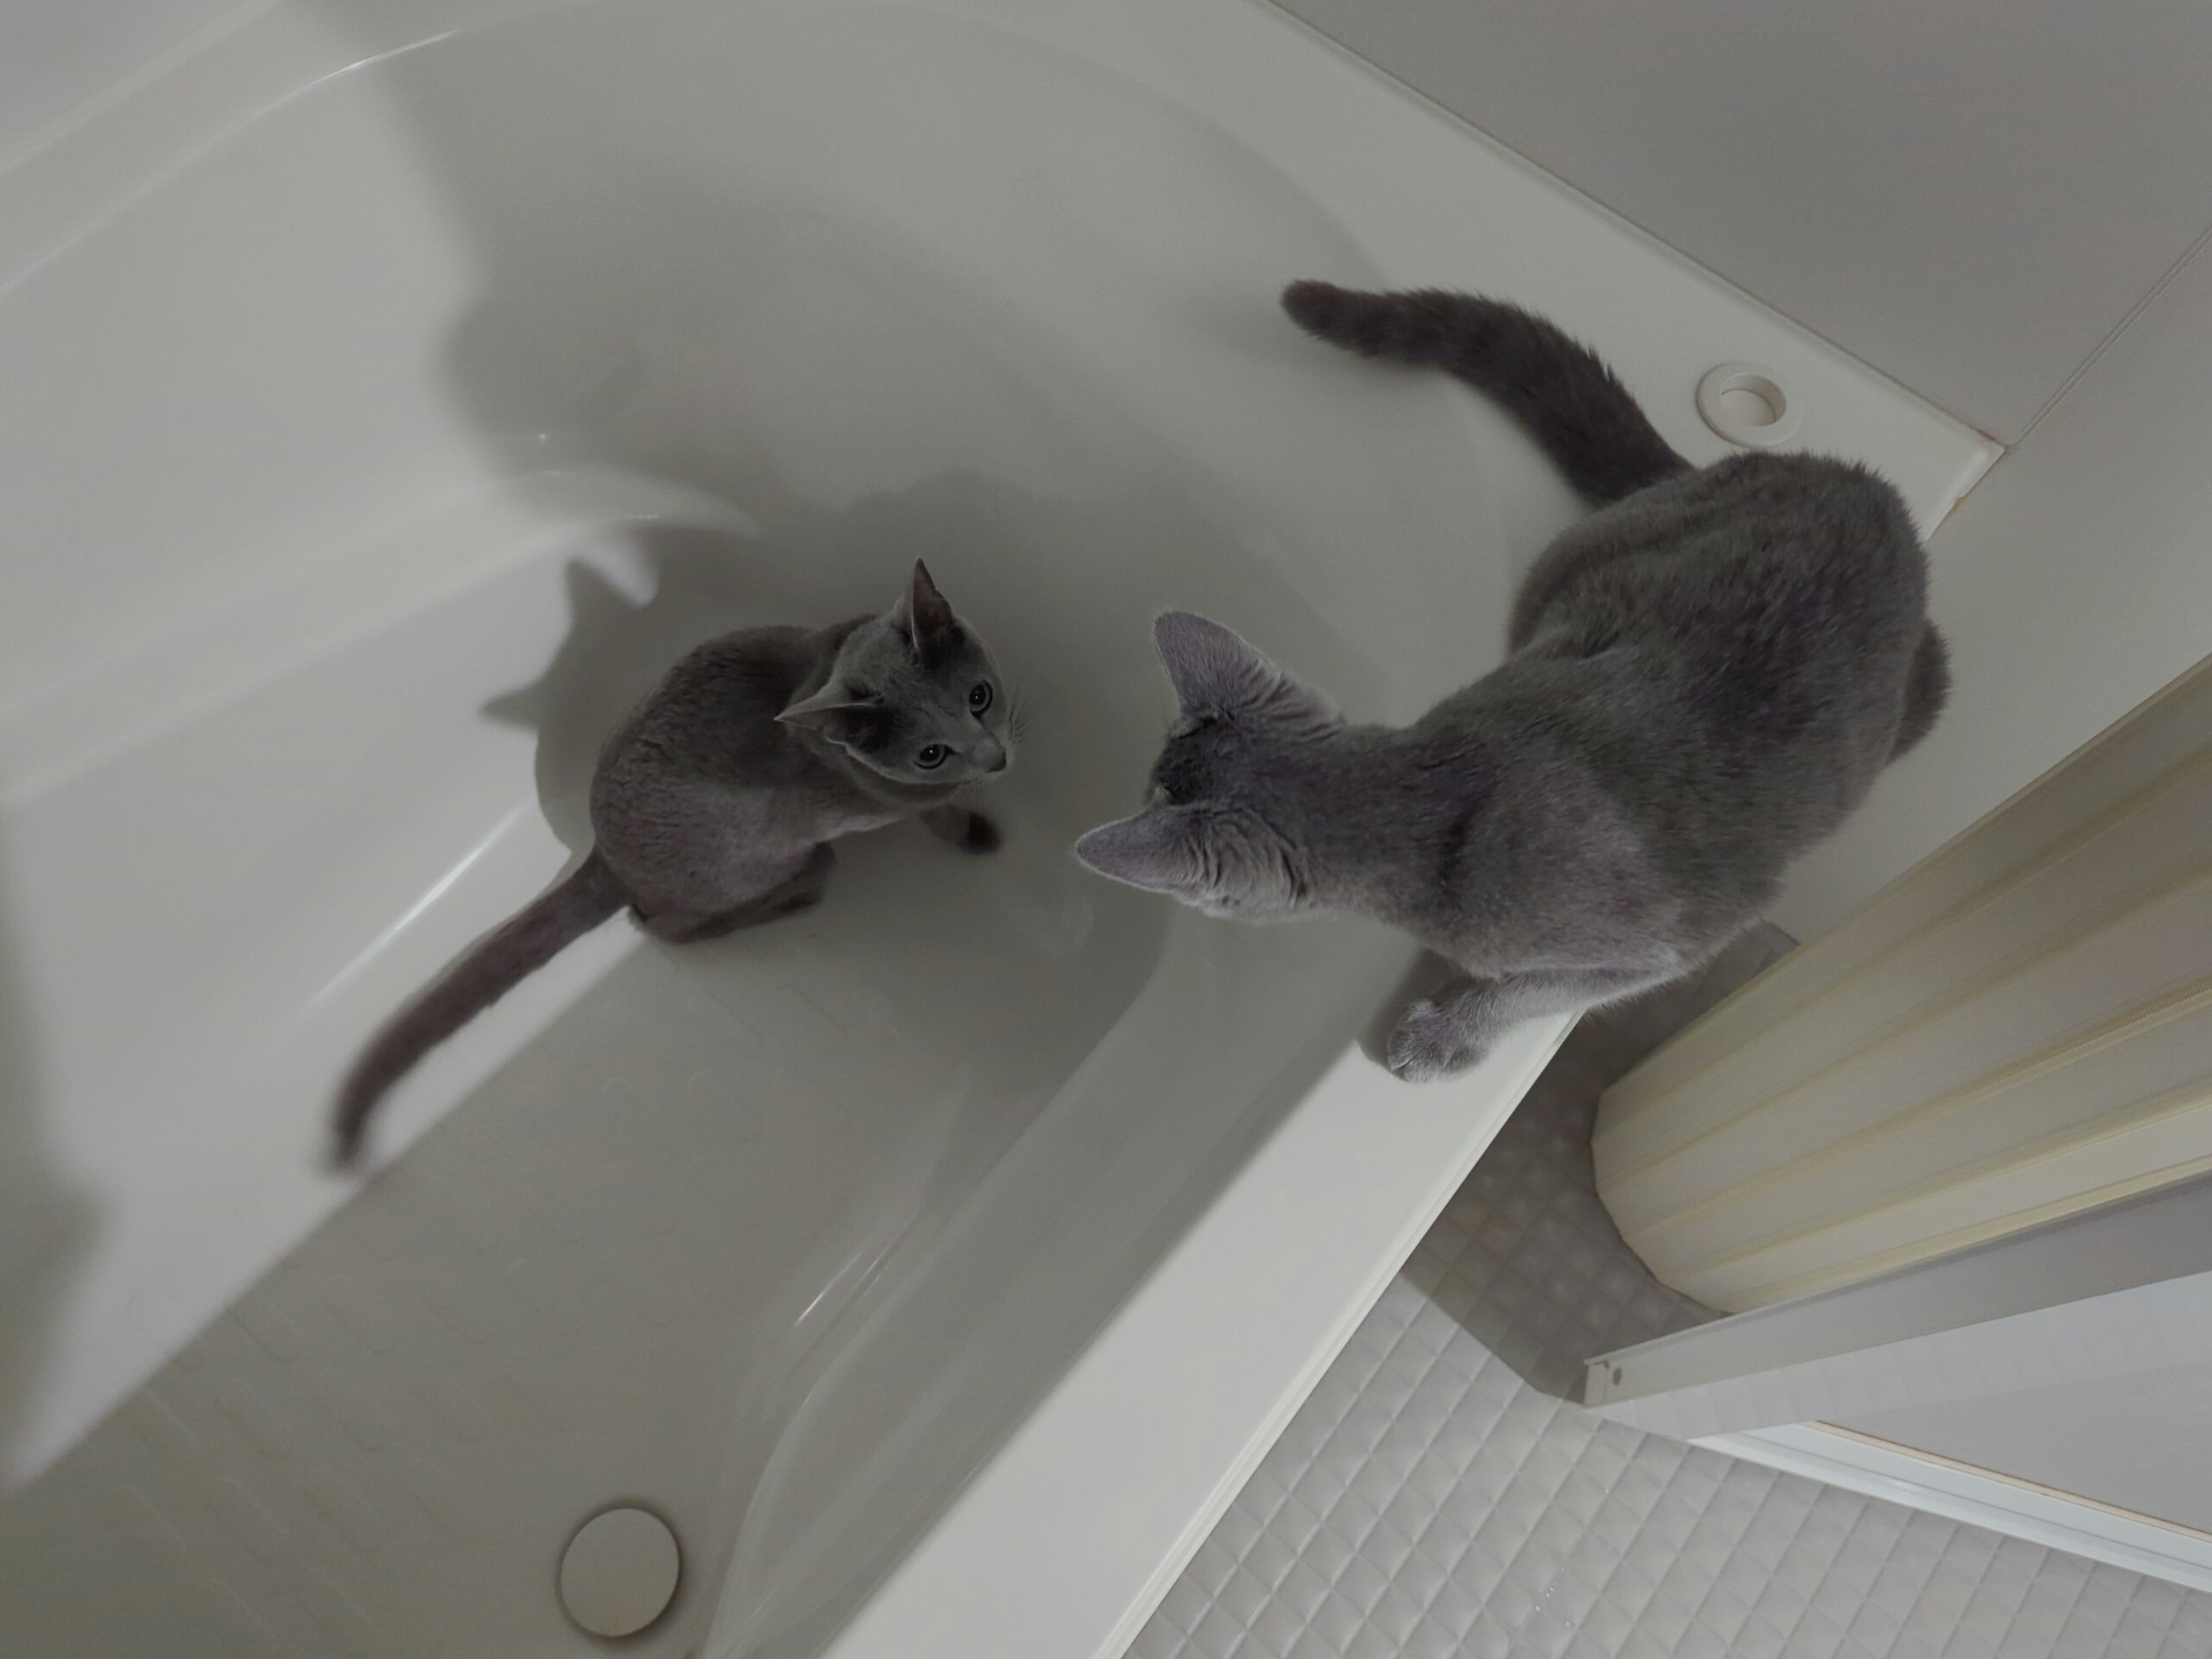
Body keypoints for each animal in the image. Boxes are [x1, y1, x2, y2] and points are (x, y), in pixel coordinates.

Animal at [332, 566, 1013, 1176]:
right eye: (930, 754)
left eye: (979, 697)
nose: (996, 759)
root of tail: (604, 856)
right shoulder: (884, 802)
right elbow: (935, 812)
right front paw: (974, 833)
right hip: (751, 856)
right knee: (662, 924)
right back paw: (801, 889)